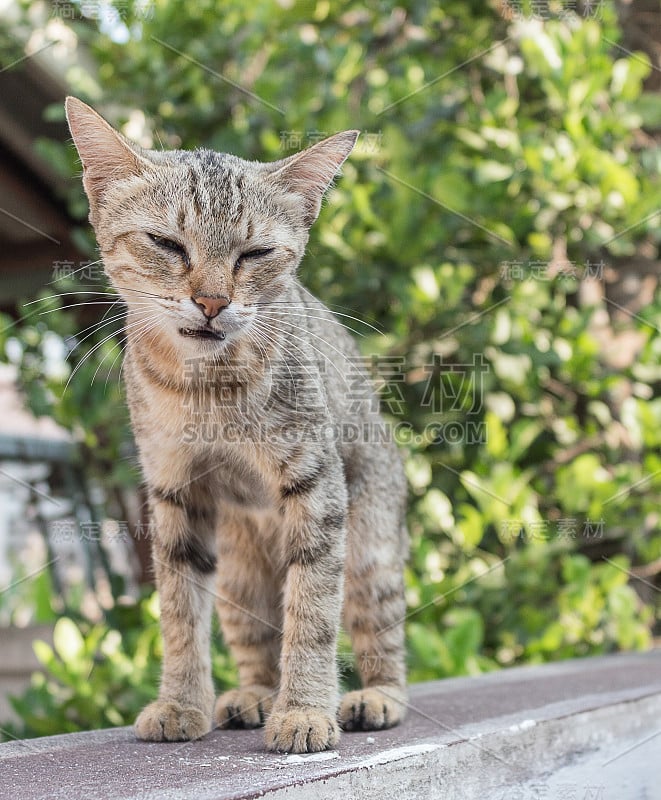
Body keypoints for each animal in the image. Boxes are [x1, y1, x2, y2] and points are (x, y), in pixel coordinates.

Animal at [65, 97, 408, 752]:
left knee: (378, 629)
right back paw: (253, 695)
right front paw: (180, 702)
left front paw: (304, 710)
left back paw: (375, 696)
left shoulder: (316, 484)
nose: (212, 301)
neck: (208, 388)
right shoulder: (175, 490)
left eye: (255, 254)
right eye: (167, 243)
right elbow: (178, 611)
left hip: (370, 546)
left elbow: (312, 613)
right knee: (255, 640)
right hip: (239, 574)